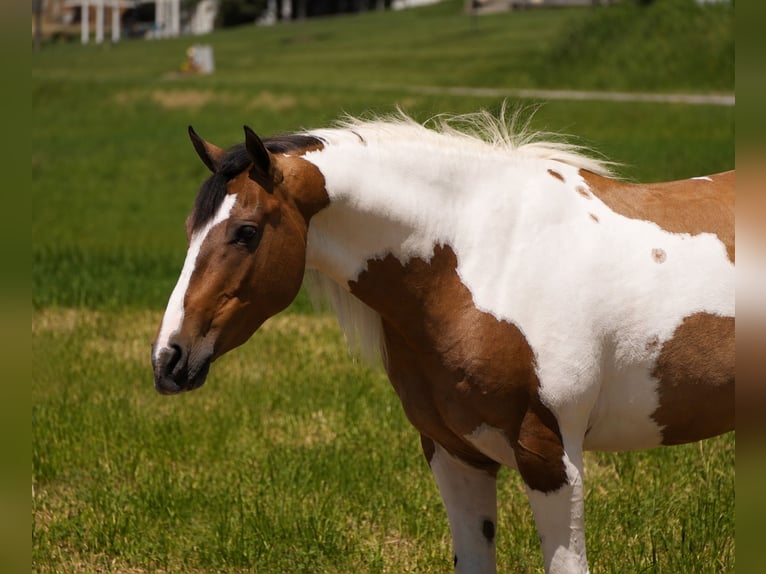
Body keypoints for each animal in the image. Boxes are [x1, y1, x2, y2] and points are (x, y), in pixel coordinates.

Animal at [151, 109, 734, 574]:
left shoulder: (551, 458)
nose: (168, 359)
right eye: (189, 228)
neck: (484, 259)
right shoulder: (456, 455)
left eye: (246, 232)